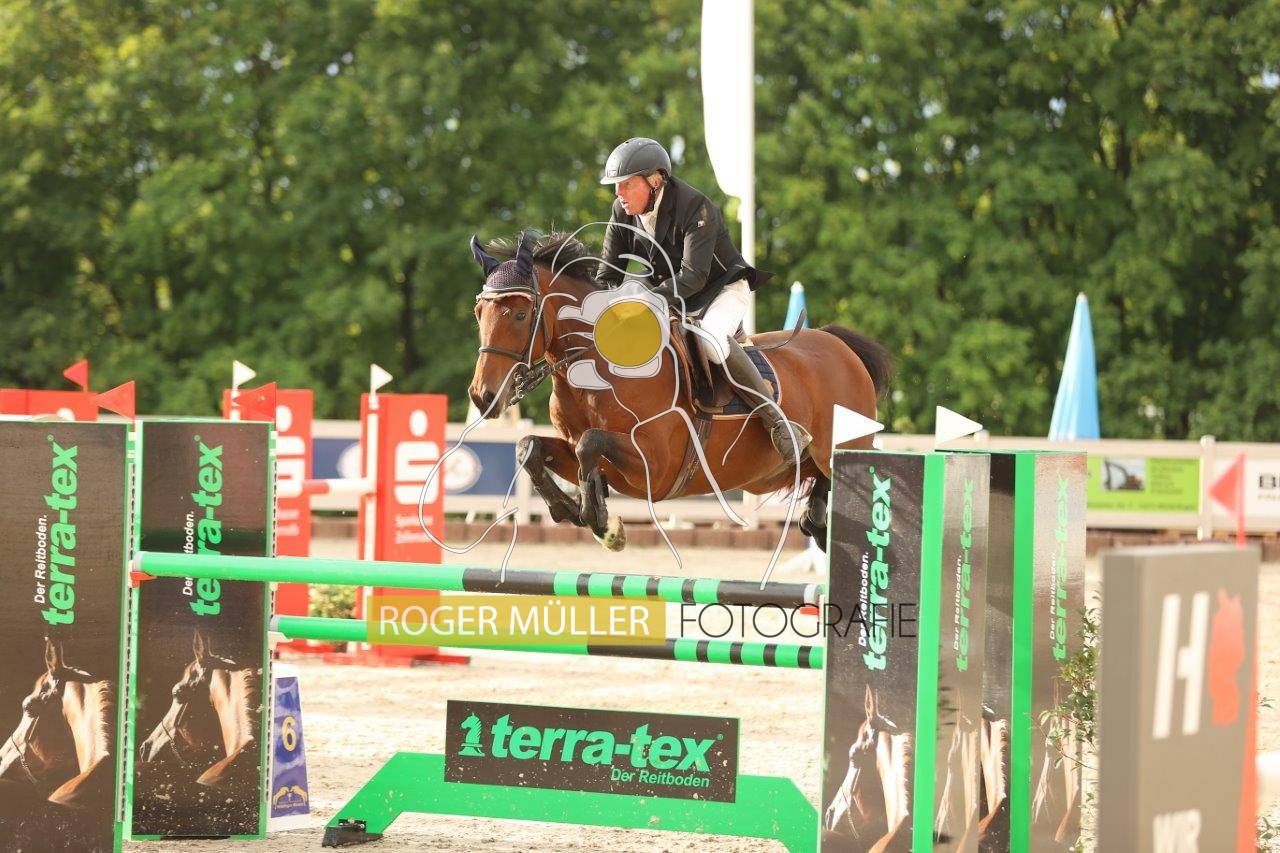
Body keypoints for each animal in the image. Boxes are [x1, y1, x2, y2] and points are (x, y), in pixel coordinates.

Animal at [467, 231, 892, 556]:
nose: (483, 396)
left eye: (521, 314)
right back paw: (815, 520)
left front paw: (603, 523)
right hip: (772, 474)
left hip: (844, 444)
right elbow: (530, 448)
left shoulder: (656, 465)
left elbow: (591, 443)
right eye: (479, 313)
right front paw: (572, 511)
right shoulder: (582, 452)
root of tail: (840, 346)